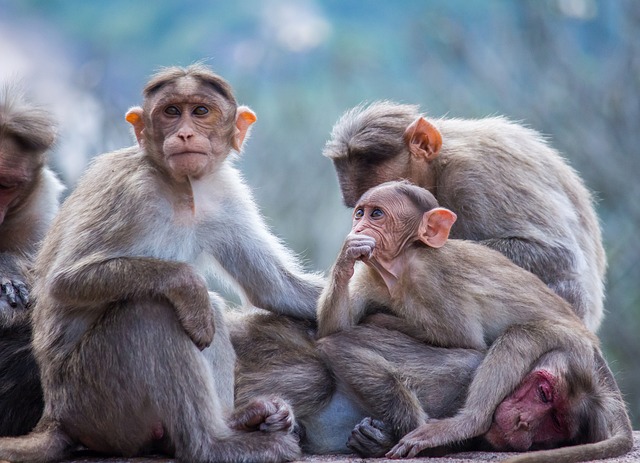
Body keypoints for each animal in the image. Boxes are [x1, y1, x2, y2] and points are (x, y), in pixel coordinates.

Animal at [0, 64, 324, 462]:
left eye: (200, 111)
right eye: (171, 112)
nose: (184, 133)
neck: (179, 186)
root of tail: (54, 417)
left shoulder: (224, 192)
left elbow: (274, 288)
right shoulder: (129, 191)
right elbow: (64, 281)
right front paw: (187, 282)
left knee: (203, 312)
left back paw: (238, 421)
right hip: (96, 401)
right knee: (153, 310)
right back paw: (211, 445)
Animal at [315, 180, 632, 461]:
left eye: (377, 214)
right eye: (360, 212)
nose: (359, 227)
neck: (401, 266)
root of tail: (592, 345)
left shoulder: (433, 279)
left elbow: (465, 341)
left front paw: (381, 319)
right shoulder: (370, 276)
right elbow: (337, 326)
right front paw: (347, 256)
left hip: (570, 340)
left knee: (521, 336)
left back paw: (468, 422)